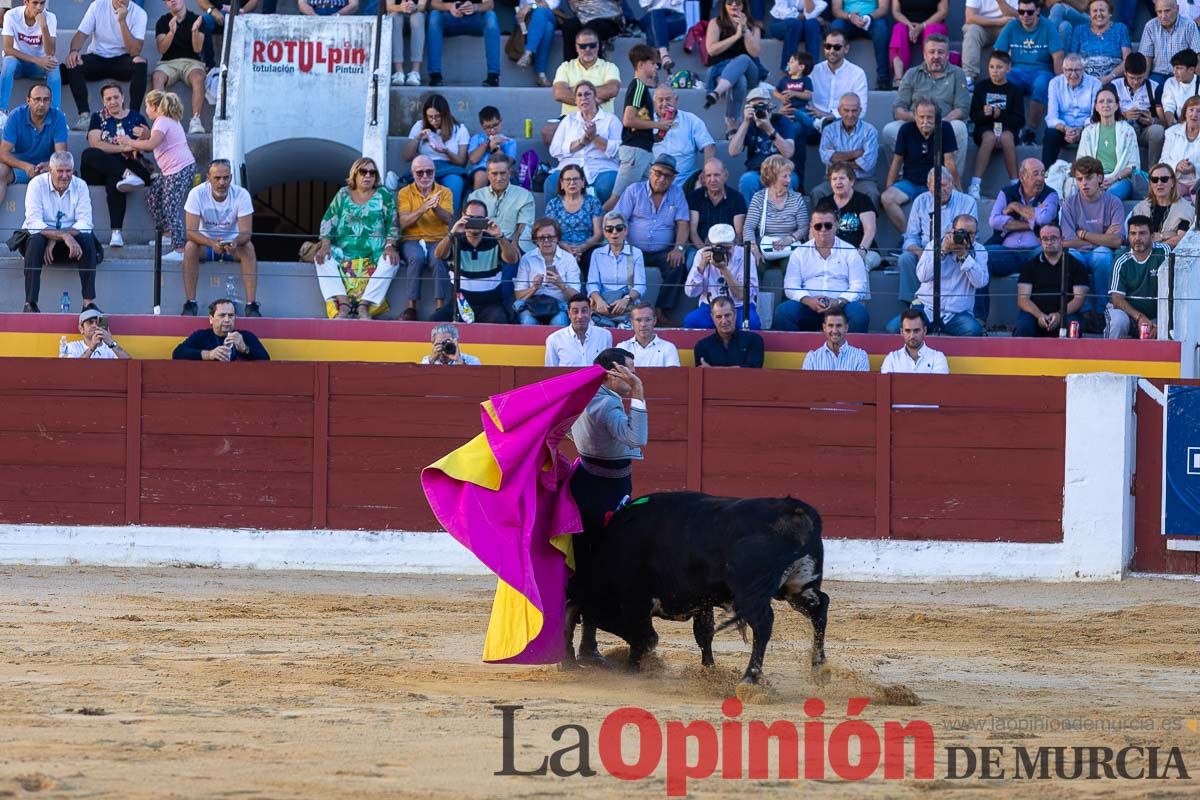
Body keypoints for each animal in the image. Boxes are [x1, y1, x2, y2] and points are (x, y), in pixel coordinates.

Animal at [559, 491, 825, 686]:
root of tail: (795, 510)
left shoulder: (636, 603)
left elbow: (642, 636)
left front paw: (632, 669)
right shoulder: (701, 600)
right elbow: (703, 634)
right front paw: (709, 670)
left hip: (751, 593)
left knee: (764, 624)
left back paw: (749, 678)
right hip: (799, 585)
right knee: (820, 607)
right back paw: (820, 668)